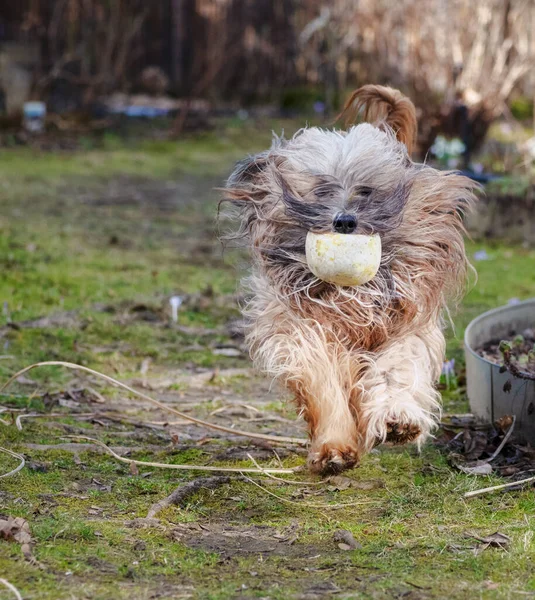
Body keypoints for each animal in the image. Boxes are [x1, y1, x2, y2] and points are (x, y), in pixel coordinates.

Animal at [222, 86, 478, 476]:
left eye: (366, 191)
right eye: (321, 191)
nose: (344, 221)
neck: (351, 295)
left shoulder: (405, 326)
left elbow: (396, 368)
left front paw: (398, 419)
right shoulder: (303, 331)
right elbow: (322, 379)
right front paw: (334, 446)